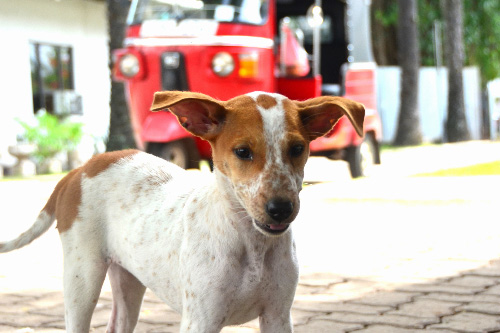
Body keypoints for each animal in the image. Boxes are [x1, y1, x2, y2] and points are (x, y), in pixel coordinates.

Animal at [0, 89, 364, 330]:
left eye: (298, 149)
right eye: (242, 151)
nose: (281, 209)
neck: (250, 242)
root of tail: (81, 168)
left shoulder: (277, 315)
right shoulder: (201, 319)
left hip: (128, 278)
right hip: (82, 279)